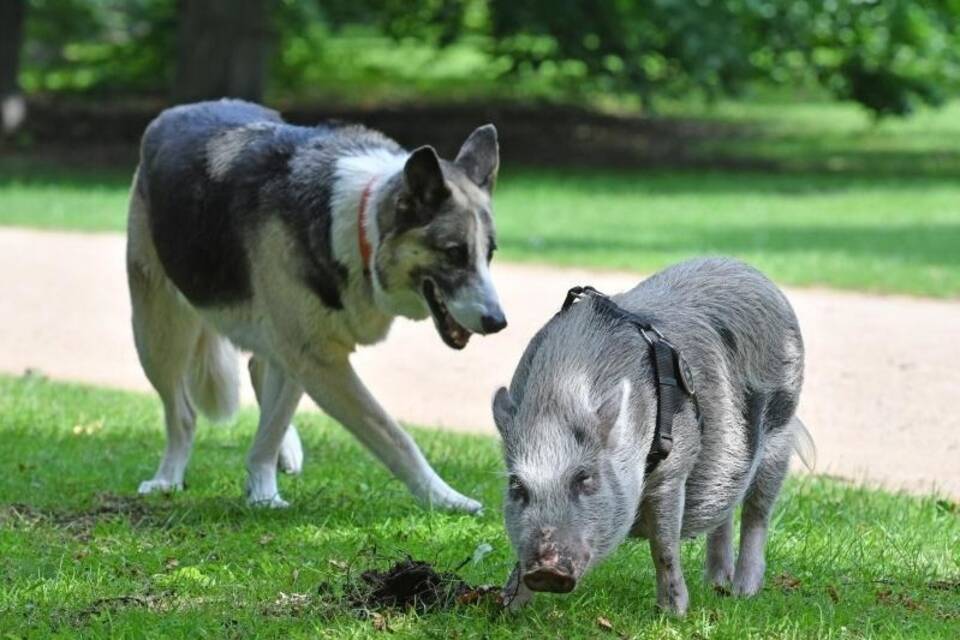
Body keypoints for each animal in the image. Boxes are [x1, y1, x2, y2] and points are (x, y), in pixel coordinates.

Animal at [125, 99, 510, 510]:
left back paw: (284, 451)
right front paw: (444, 497)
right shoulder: (317, 359)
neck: (360, 227)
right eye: (454, 253)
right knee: (181, 414)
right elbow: (392, 435)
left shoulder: (304, 354)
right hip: (158, 337)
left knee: (259, 371)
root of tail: (180, 110)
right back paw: (168, 477)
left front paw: (262, 490)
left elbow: (271, 428)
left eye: (489, 253)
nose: (498, 323)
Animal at [492, 258, 812, 616]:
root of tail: (750, 271)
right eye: (517, 486)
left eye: (585, 478)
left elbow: (664, 545)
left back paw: (744, 592)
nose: (546, 570)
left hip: (780, 431)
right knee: (725, 512)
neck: (561, 393)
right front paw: (506, 608)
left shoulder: (673, 470)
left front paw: (674, 613)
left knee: (757, 511)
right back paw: (716, 584)